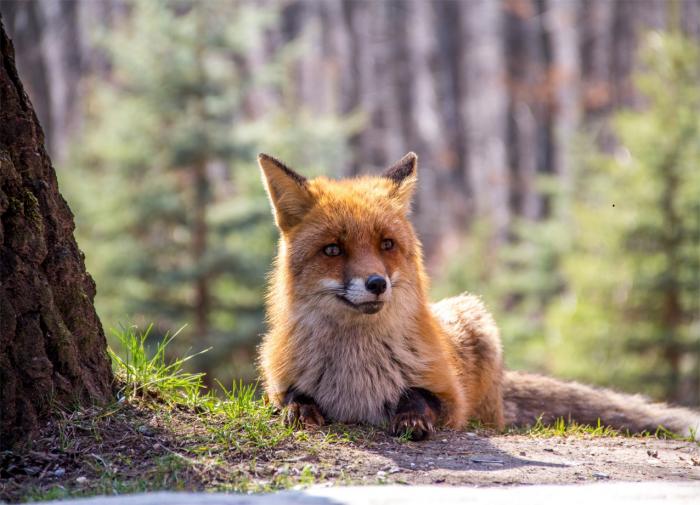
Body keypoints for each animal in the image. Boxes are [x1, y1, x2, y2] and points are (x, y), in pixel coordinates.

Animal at [258, 152, 700, 440]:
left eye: (386, 244)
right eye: (333, 250)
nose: (377, 283)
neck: (356, 370)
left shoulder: (449, 396)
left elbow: (419, 397)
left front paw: (411, 419)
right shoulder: (276, 383)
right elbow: (292, 397)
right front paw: (301, 410)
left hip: (477, 325)